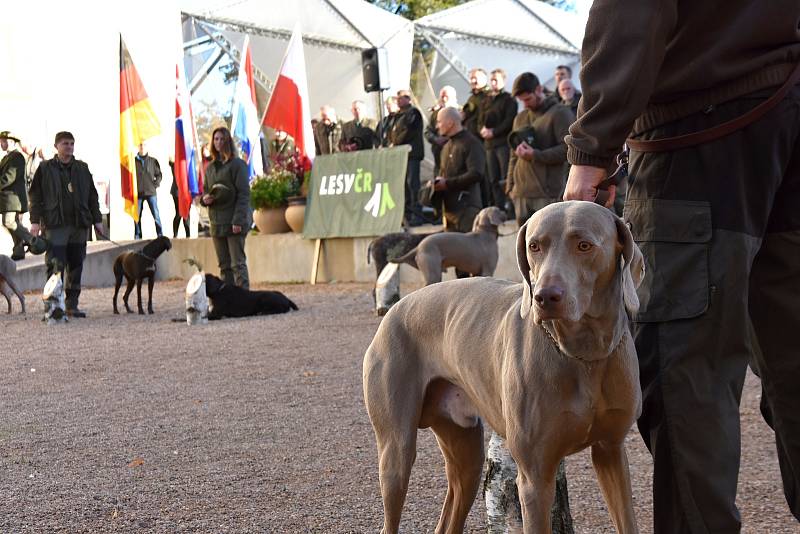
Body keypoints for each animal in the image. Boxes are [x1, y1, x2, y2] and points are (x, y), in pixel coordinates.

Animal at [362, 202, 644, 534]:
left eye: (584, 245)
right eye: (534, 246)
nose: (544, 297)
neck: (584, 353)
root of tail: (395, 309)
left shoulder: (610, 451)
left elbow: (627, 518)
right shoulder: (535, 476)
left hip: (466, 452)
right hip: (396, 450)